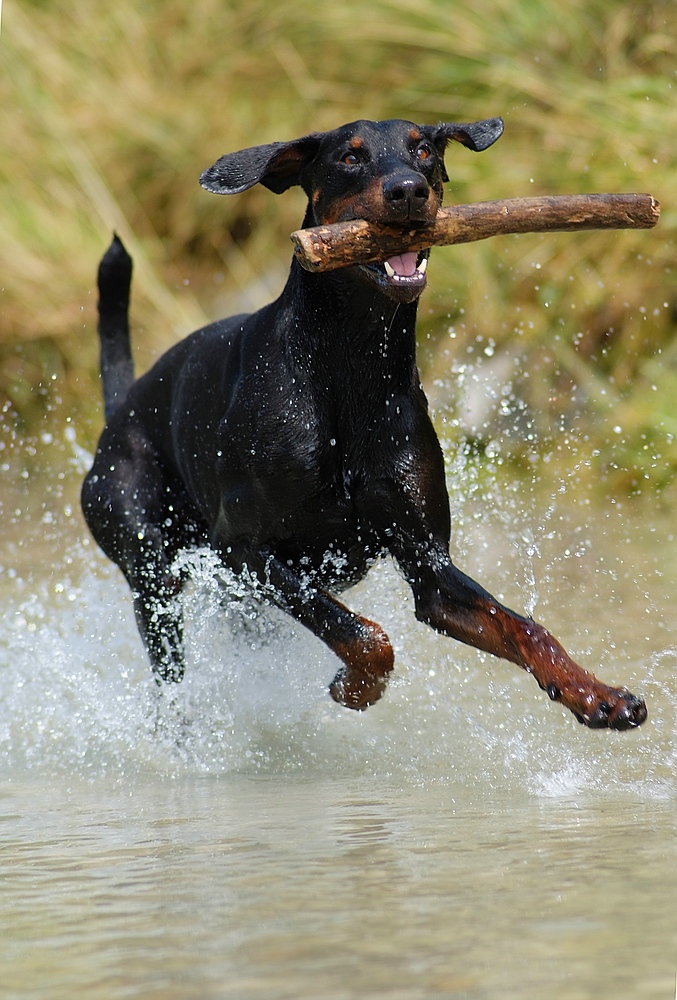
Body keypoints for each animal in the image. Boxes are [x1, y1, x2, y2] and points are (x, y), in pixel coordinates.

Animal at [82, 117, 648, 732]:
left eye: (422, 151)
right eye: (350, 158)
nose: (408, 191)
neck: (352, 365)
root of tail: (122, 409)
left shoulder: (428, 566)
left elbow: (521, 625)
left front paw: (596, 694)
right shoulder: (241, 548)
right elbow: (365, 636)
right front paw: (355, 688)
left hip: (239, 604)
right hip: (149, 563)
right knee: (168, 664)